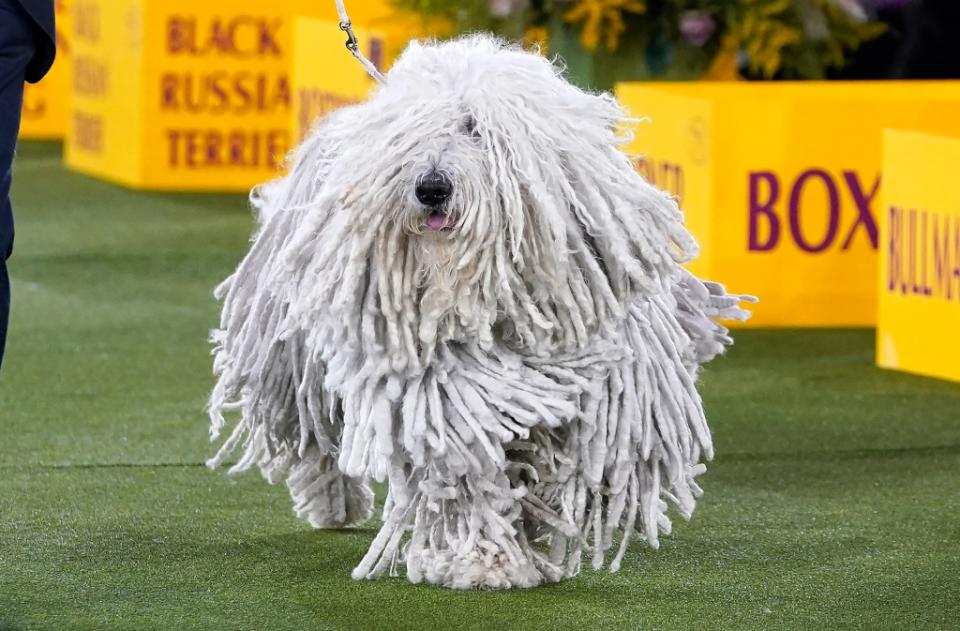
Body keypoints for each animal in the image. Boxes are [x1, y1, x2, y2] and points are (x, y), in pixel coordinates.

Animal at [206, 34, 752, 592]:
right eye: (410, 135)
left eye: (474, 129)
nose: (431, 187)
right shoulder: (446, 394)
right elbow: (471, 471)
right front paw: (488, 558)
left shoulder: (603, 387)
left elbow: (570, 462)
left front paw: (537, 519)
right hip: (291, 349)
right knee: (312, 431)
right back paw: (334, 503)